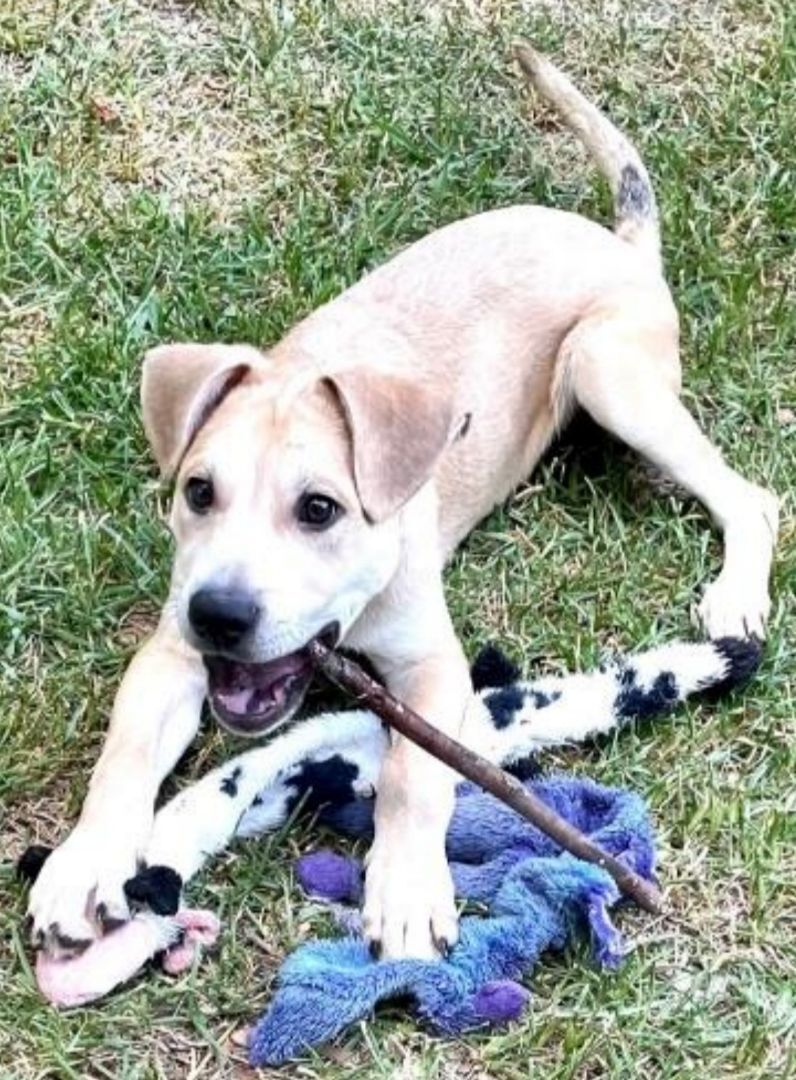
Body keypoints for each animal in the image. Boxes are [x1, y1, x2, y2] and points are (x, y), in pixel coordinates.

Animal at [29, 44, 777, 963]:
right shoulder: (171, 650)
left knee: (751, 496)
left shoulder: (432, 665)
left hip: (609, 371)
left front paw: (409, 888)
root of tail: (623, 242)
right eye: (198, 491)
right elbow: (125, 750)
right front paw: (86, 860)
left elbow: (415, 772)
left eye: (320, 509)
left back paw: (736, 592)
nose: (221, 616)